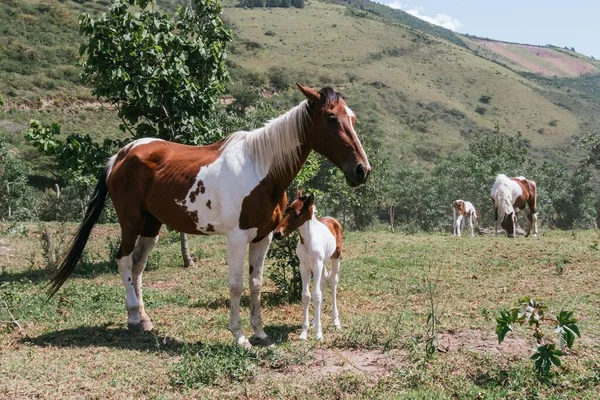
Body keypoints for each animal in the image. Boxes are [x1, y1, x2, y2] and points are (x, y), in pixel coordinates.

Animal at [274, 191, 342, 340]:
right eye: (287, 210)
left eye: (298, 214)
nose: (277, 233)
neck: (308, 241)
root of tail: (332, 219)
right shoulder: (304, 266)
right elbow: (306, 295)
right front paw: (304, 333)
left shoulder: (316, 265)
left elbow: (316, 295)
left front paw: (319, 334)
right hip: (322, 263)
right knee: (324, 281)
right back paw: (315, 321)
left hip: (335, 257)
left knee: (333, 280)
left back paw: (336, 321)